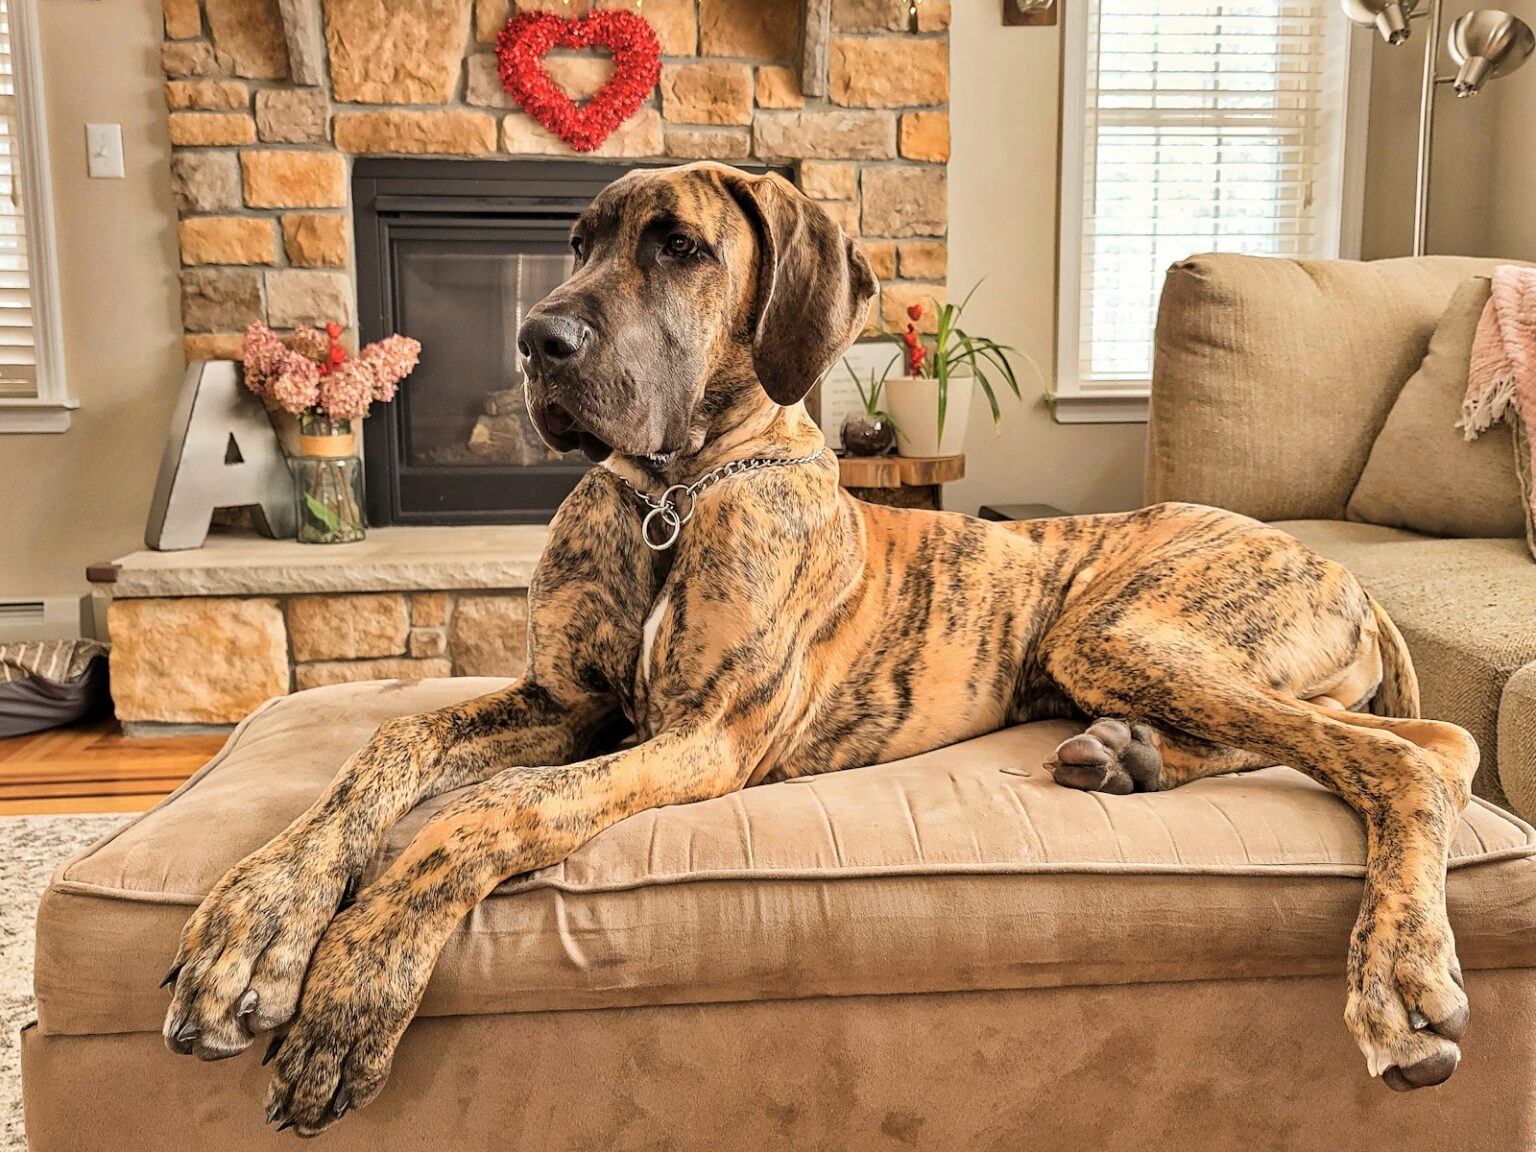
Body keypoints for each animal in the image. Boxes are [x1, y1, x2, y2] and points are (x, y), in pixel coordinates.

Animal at [162, 162, 1480, 1136]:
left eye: (679, 248)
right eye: (574, 241)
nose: (536, 339)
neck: (675, 494)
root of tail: (1345, 572)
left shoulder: (700, 740)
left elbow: (494, 811)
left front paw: (355, 977)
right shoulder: (562, 700)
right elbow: (386, 747)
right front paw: (257, 921)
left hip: (1117, 625)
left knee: (1413, 752)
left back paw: (1397, 973)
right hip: (1116, 654)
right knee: (1379, 739)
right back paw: (1125, 759)